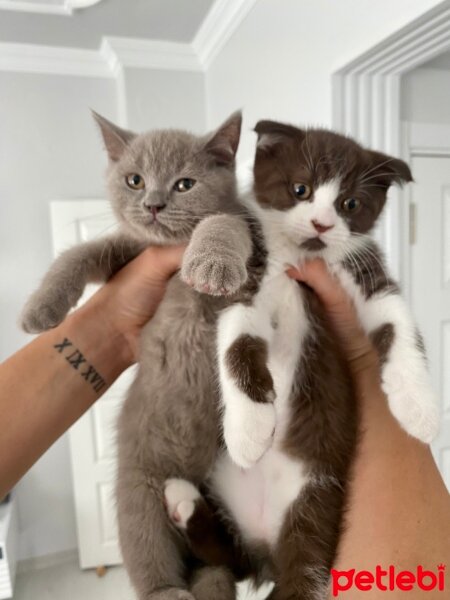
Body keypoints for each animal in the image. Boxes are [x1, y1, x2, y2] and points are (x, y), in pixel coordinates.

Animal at [21, 112, 258, 600]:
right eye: (135, 180)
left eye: (185, 184)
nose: (152, 204)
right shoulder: (129, 256)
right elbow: (80, 253)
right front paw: (41, 308)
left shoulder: (245, 232)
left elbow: (222, 223)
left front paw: (210, 264)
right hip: (138, 493)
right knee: (152, 552)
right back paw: (168, 591)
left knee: (218, 565)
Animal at [163, 122, 438, 600]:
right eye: (300, 189)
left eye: (350, 204)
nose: (322, 223)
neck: (299, 257)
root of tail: (265, 549)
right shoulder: (250, 277)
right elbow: (237, 340)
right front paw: (249, 430)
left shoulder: (362, 271)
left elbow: (396, 321)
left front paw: (419, 408)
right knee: (229, 554)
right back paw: (183, 497)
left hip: (315, 503)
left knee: (297, 568)